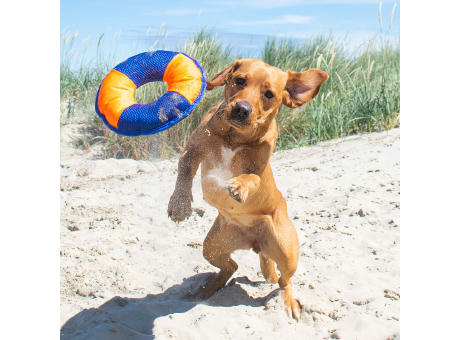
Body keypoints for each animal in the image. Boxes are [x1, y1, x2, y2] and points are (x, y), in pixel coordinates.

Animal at [167, 57, 328, 320]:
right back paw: (209, 288)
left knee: (284, 280)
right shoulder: (192, 151)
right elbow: (183, 173)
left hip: (287, 252)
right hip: (212, 247)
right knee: (231, 267)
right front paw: (179, 205)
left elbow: (251, 177)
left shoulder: (259, 169)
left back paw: (289, 303)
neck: (234, 138)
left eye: (269, 94)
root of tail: (256, 244)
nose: (241, 109)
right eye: (239, 80)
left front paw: (239, 186)